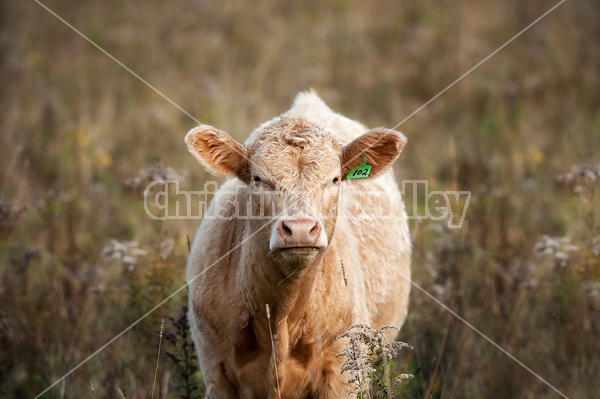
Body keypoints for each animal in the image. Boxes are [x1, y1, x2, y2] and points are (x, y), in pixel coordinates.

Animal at [185, 92, 410, 398]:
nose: (301, 229)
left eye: (335, 179)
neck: (280, 319)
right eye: (258, 179)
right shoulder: (214, 368)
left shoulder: (345, 372)